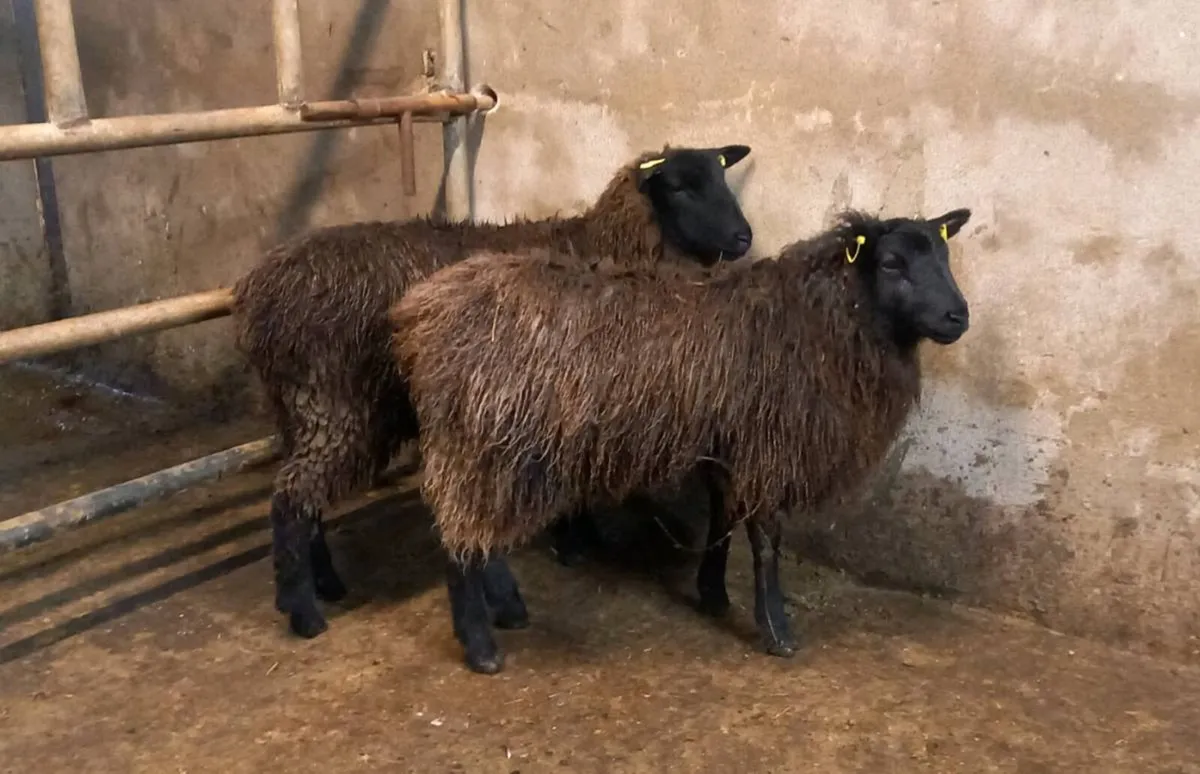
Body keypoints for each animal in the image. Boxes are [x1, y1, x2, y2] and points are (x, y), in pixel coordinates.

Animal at [230, 143, 755, 640]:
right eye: (680, 187)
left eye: (721, 174)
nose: (744, 237)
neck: (602, 242)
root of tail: (258, 293)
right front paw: (573, 542)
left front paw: (575, 537)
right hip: (335, 403)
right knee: (290, 499)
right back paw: (303, 612)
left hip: (300, 410)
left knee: (304, 499)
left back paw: (327, 583)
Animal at [389, 207, 973, 674]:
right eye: (892, 263)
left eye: (944, 256)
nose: (958, 316)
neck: (818, 321)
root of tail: (420, 315)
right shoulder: (768, 445)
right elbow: (765, 541)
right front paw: (776, 629)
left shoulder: (726, 440)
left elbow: (722, 520)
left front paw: (713, 594)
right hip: (480, 438)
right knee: (457, 540)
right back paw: (481, 647)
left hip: (487, 447)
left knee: (472, 533)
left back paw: (506, 610)